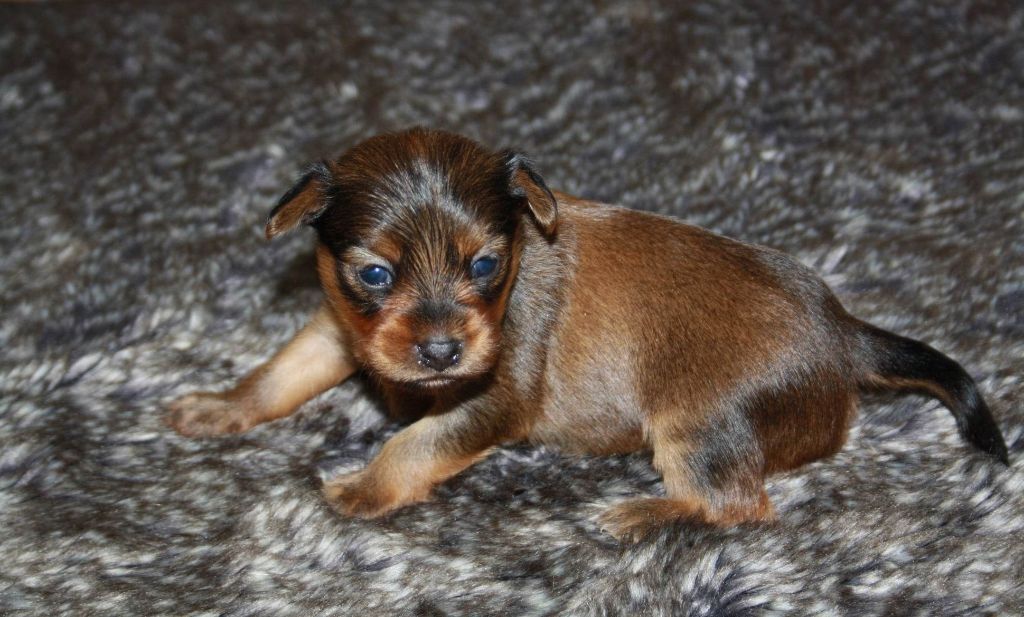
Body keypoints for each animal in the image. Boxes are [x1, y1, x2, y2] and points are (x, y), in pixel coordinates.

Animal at [167, 128, 1009, 542]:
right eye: (375, 274)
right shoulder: (337, 328)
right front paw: (218, 406)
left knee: (741, 505)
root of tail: (844, 333)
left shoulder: (493, 394)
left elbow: (415, 442)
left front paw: (363, 488)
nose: (441, 351)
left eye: (485, 263)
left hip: (701, 420)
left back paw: (637, 515)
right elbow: (278, 372)